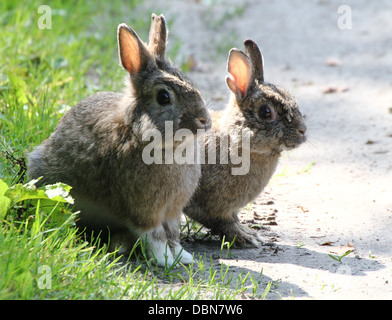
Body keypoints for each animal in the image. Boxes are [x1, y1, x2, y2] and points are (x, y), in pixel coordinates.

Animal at [26, 13, 211, 266]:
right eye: (164, 97)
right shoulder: (143, 210)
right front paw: (164, 259)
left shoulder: (173, 211)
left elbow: (173, 234)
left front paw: (183, 257)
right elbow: (154, 235)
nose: (205, 120)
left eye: (191, 82)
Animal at [182, 38, 308, 248]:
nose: (303, 131)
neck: (236, 141)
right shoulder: (210, 206)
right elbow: (223, 222)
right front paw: (246, 237)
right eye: (265, 112)